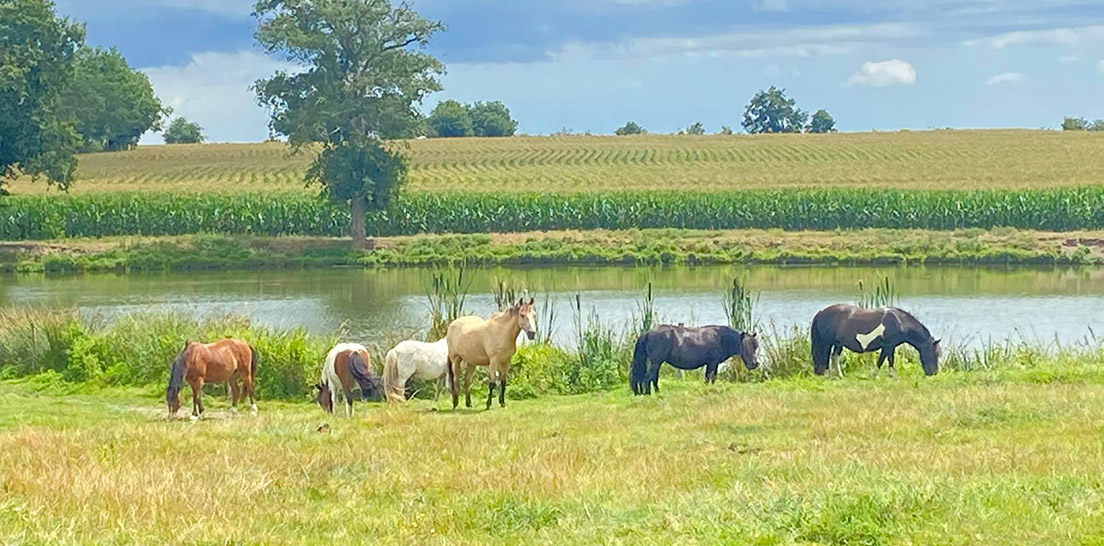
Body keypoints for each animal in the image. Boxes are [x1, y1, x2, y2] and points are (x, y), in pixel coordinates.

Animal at [631, 324, 759, 397]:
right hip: (655, 362)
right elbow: (708, 378)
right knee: (647, 379)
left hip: (656, 363)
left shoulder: (714, 364)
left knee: (653, 378)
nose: (754, 364)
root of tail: (648, 333)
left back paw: (657, 393)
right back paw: (648, 395)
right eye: (745, 346)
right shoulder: (712, 363)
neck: (720, 338)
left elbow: (712, 378)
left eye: (755, 346)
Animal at [812, 304, 940, 379]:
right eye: (935, 353)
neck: (899, 321)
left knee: (834, 357)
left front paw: (889, 376)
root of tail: (821, 312)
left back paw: (839, 375)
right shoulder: (887, 346)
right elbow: (883, 361)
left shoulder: (891, 346)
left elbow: (889, 360)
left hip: (838, 343)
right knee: (826, 357)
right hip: (827, 342)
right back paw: (828, 375)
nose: (933, 373)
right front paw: (877, 376)